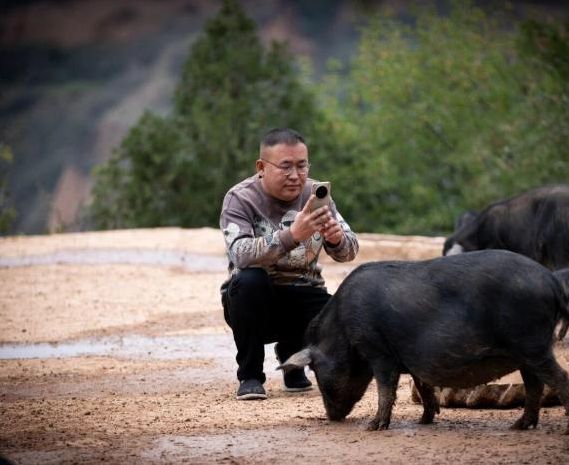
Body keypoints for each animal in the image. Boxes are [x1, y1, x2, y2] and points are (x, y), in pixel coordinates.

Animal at [278, 250, 569, 433]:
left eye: (315, 370)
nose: (331, 417)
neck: (342, 330)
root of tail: (551, 280)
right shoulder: (410, 360)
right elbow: (424, 386)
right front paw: (425, 422)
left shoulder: (378, 351)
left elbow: (386, 389)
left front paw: (373, 427)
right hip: (526, 353)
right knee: (535, 386)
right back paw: (518, 426)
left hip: (532, 344)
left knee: (559, 379)